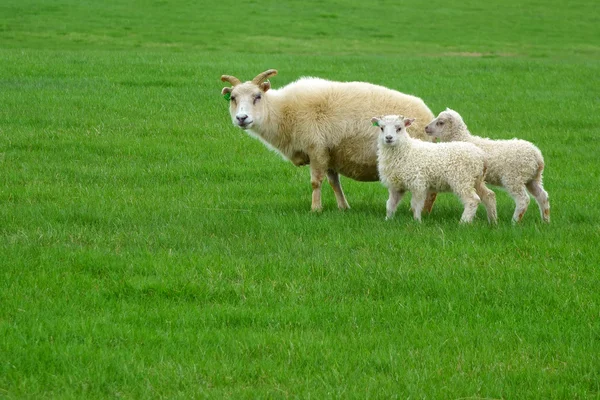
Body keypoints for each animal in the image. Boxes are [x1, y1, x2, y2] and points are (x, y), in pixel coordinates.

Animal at [220, 69, 436, 212]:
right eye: (233, 98)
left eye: (257, 96)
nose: (241, 118)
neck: (283, 112)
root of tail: (427, 115)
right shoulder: (331, 153)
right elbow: (334, 183)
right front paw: (343, 207)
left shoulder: (316, 148)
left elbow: (316, 182)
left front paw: (315, 209)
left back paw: (423, 211)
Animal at [424, 108, 552, 223]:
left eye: (440, 122)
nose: (426, 128)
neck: (462, 138)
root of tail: (538, 157)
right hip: (533, 178)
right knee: (542, 196)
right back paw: (545, 220)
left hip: (514, 178)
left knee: (523, 200)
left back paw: (515, 221)